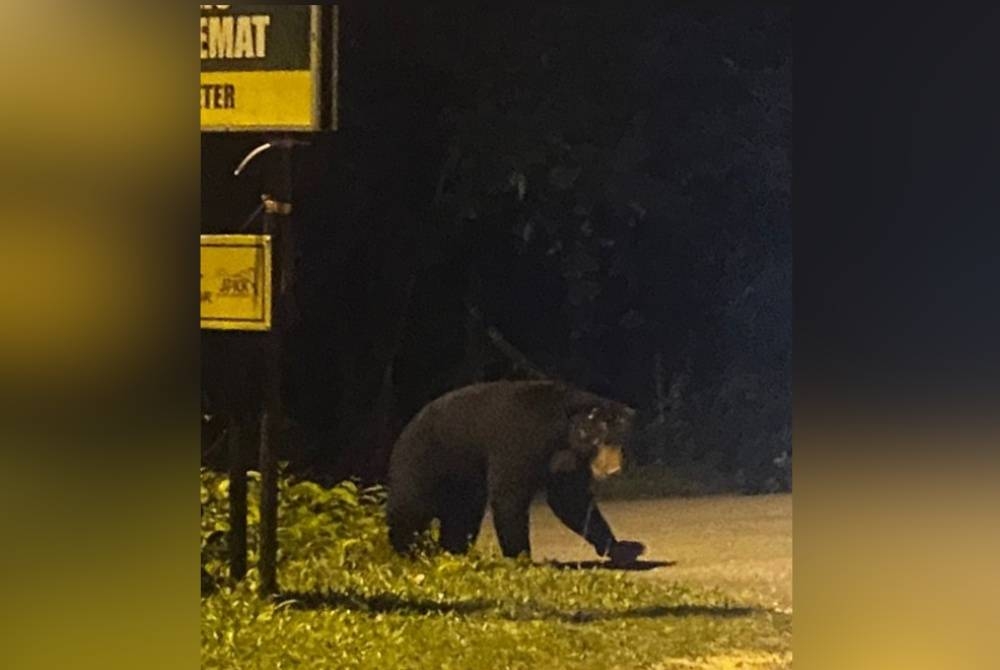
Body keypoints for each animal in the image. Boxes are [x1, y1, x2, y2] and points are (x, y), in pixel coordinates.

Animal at [382, 380, 648, 564]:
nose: (613, 470)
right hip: (425, 462)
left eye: (621, 443)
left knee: (463, 515)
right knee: (410, 509)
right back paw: (409, 550)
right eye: (599, 441)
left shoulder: (568, 461)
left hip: (464, 481)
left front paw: (623, 548)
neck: (562, 433)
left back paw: (453, 550)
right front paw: (521, 556)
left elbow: (571, 499)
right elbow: (509, 495)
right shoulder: (521, 439)